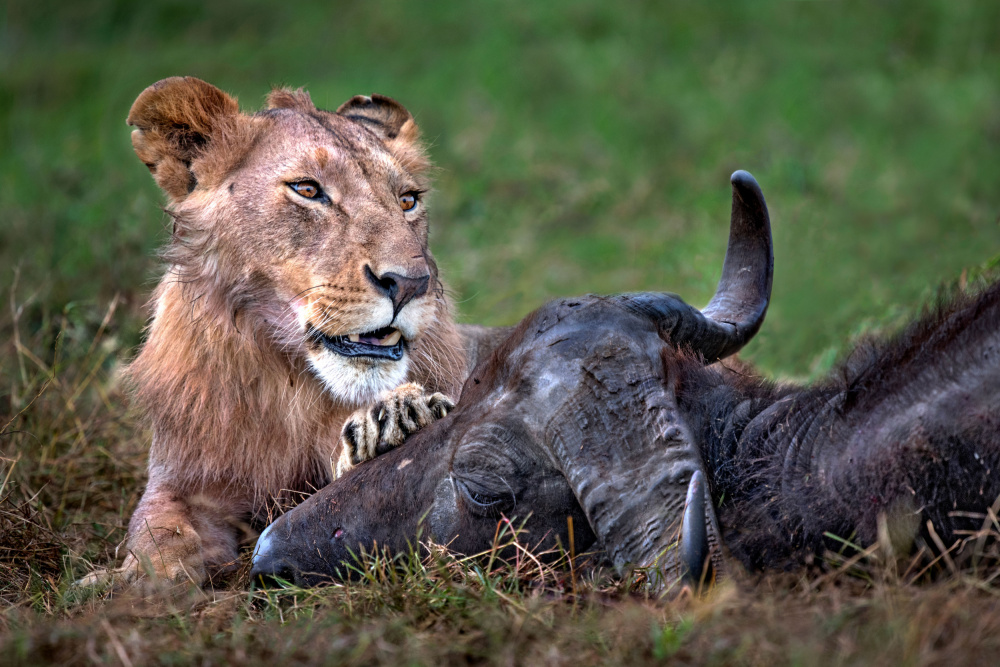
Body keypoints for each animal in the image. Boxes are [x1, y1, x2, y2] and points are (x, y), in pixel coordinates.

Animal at [82, 78, 508, 588]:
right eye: (308, 189)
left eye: (407, 200)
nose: (410, 283)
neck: (288, 383)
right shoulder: (181, 482)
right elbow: (157, 534)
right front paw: (134, 584)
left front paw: (392, 424)